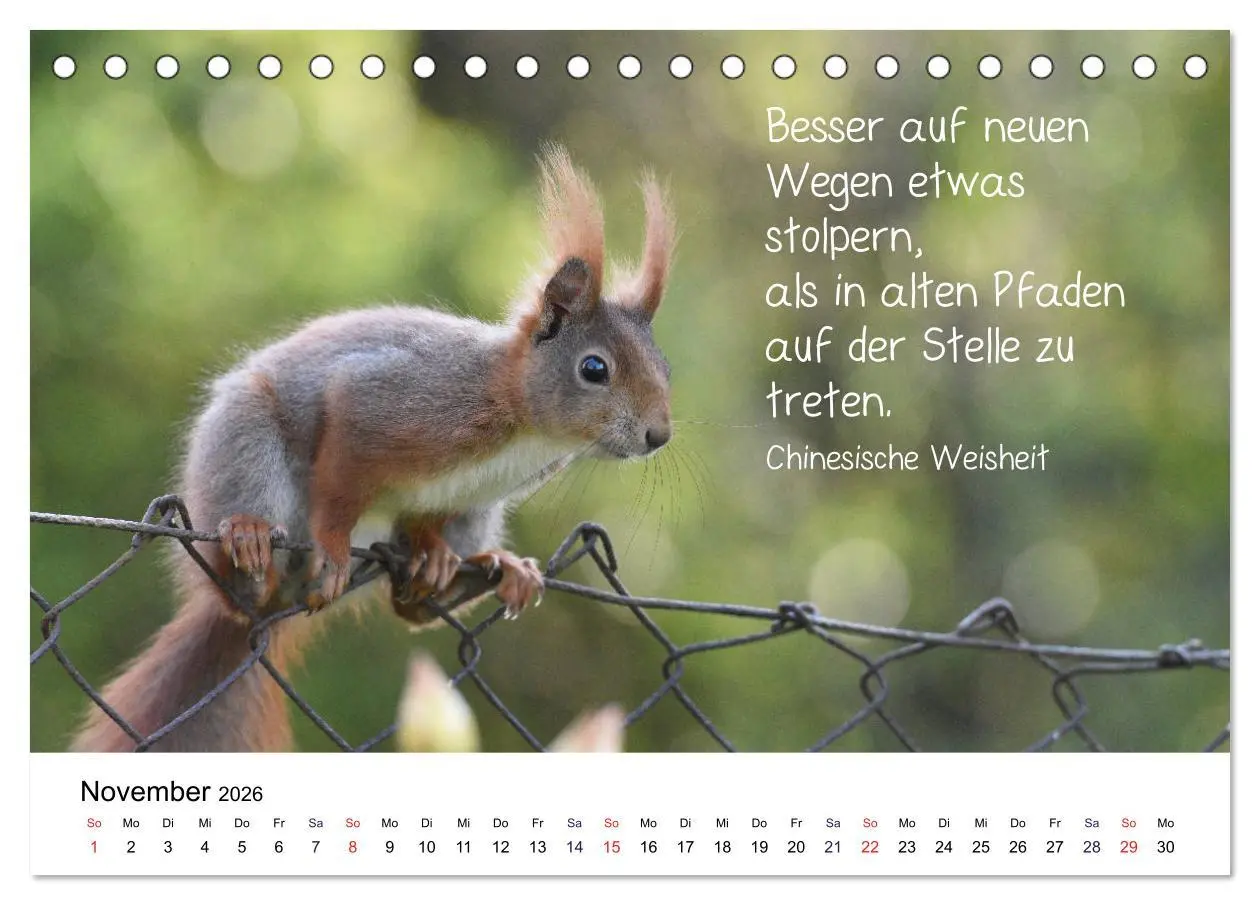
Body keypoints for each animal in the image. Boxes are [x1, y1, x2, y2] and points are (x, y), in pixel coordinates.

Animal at [71, 146, 675, 752]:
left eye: (664, 368)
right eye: (594, 369)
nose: (659, 435)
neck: (525, 425)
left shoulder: (464, 491)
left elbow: (427, 519)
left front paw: (433, 552)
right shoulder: (388, 406)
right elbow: (341, 478)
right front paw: (335, 548)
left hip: (478, 514)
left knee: (407, 609)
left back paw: (478, 575)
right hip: (246, 450)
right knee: (243, 589)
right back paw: (249, 551)